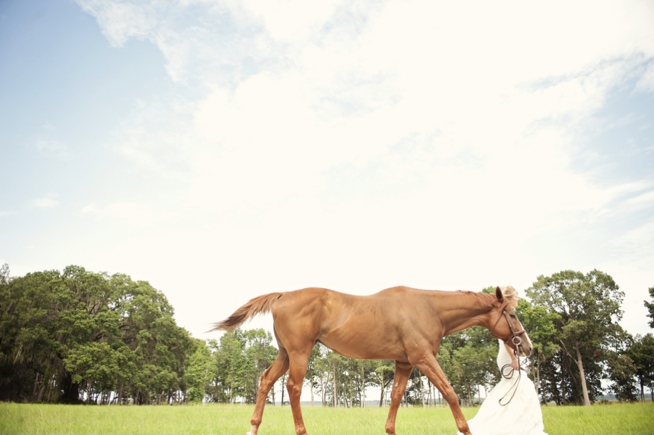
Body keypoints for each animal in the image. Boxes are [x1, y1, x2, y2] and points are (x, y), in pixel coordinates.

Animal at [213, 286, 536, 435]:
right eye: (512, 314)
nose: (528, 347)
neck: (427, 308)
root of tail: (282, 295)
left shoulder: (405, 363)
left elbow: (395, 397)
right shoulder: (423, 359)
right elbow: (449, 392)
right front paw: (466, 429)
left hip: (285, 353)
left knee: (266, 379)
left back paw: (253, 427)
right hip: (300, 354)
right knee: (293, 388)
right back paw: (301, 431)